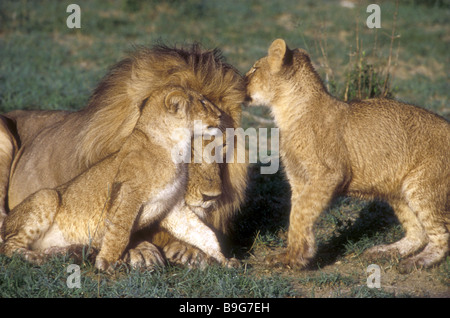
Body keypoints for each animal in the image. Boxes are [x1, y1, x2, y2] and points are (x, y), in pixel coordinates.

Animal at [0, 44, 246, 268]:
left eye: (223, 146)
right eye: (190, 150)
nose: (212, 197)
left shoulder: (173, 208)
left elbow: (201, 232)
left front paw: (200, 254)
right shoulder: (125, 194)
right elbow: (120, 229)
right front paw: (136, 254)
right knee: (8, 243)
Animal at [246, 38, 450, 272]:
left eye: (255, 68)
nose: (241, 82)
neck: (285, 112)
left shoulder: (329, 174)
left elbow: (300, 212)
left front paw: (295, 259)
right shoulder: (298, 177)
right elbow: (296, 215)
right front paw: (292, 254)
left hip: (422, 186)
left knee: (441, 234)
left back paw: (418, 261)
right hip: (398, 189)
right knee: (418, 232)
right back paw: (385, 251)